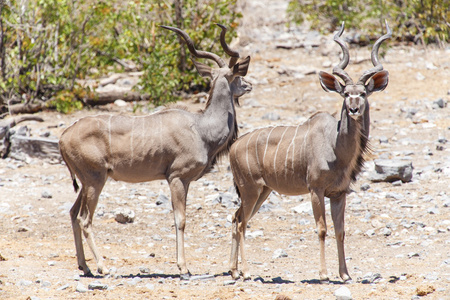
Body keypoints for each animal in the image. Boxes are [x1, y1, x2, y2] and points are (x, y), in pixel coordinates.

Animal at [58, 24, 251, 278]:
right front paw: (183, 267)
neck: (201, 128)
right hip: (95, 181)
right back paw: (102, 266)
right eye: (237, 75)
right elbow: (180, 220)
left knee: (72, 213)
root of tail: (64, 136)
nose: (249, 85)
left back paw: (85, 266)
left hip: (87, 182)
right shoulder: (177, 178)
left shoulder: (182, 181)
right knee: (84, 219)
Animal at [229, 22, 390, 282]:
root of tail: (234, 146)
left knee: (236, 218)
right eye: (346, 94)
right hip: (250, 189)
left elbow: (340, 231)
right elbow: (322, 229)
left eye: (363, 93)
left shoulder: (339, 194)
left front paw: (345, 274)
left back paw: (233, 271)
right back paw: (246, 271)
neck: (336, 147)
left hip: (261, 191)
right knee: (242, 223)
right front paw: (324, 274)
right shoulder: (316, 190)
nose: (354, 109)